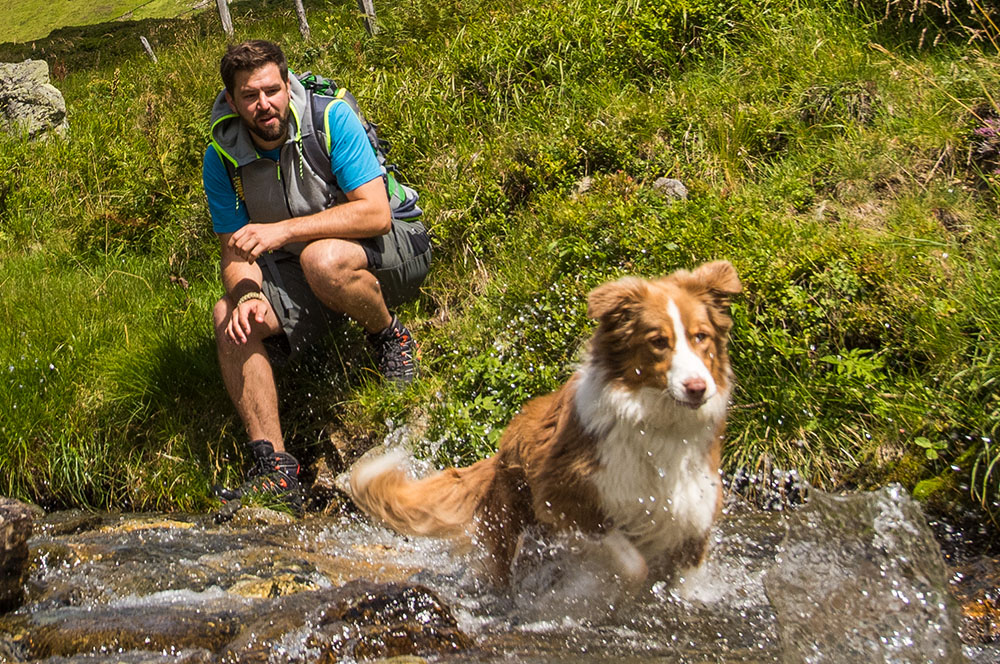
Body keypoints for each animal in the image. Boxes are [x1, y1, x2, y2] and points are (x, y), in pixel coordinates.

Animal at [348, 262, 740, 584]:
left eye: (701, 336)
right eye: (658, 341)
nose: (697, 388)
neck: (656, 422)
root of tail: (499, 451)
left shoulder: (693, 514)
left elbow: (685, 579)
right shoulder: (564, 496)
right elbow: (632, 564)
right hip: (509, 525)